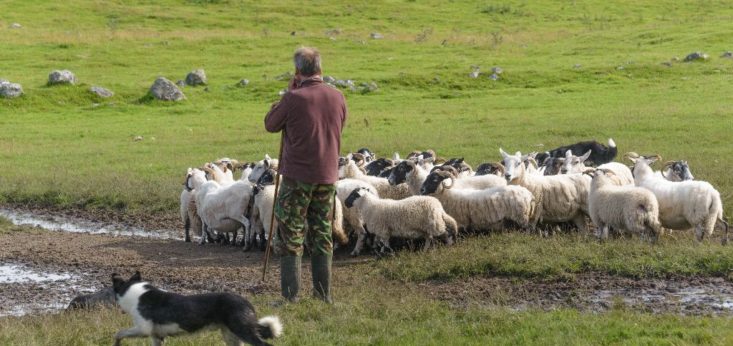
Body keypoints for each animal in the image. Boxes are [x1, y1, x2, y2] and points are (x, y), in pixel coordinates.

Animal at [112, 272, 284, 344]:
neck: (135, 292)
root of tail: (246, 301)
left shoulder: (143, 329)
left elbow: (119, 333)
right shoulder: (156, 337)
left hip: (242, 331)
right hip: (231, 336)